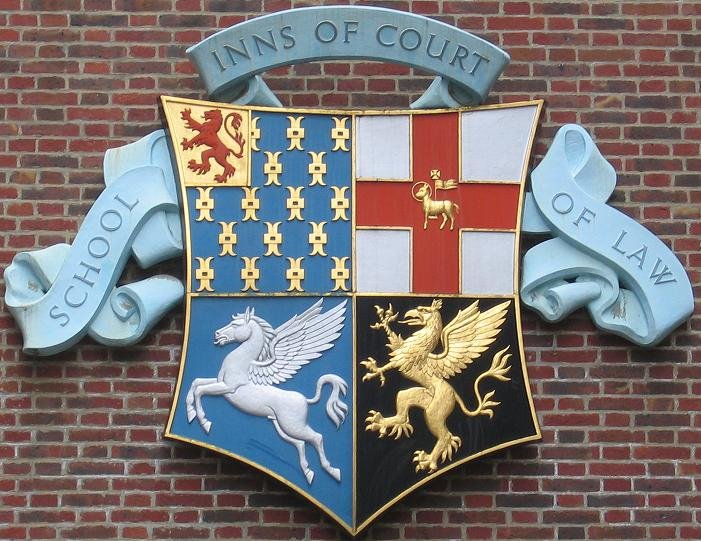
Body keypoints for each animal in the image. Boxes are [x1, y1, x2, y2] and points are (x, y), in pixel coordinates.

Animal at [185, 300, 348, 480]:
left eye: (235, 324)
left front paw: (204, 422)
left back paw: (332, 470)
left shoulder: (228, 388)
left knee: (316, 438)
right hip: (281, 426)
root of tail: (305, 399)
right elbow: (196, 383)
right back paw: (308, 472)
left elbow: (200, 391)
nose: (217, 334)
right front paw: (190, 413)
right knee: (300, 443)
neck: (240, 362)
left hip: (292, 424)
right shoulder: (220, 383)